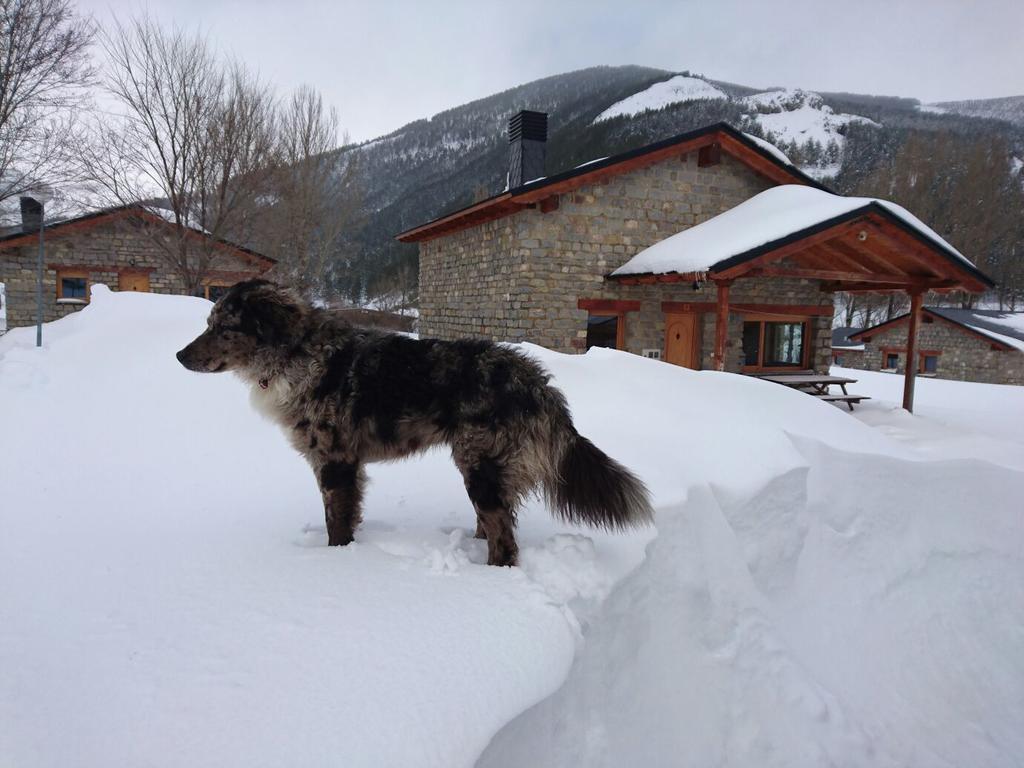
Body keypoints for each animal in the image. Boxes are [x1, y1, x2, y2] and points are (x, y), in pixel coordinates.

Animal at [177, 280, 651, 569]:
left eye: (224, 327)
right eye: (208, 323)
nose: (180, 356)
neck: (297, 353)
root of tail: (538, 383)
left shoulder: (334, 462)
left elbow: (335, 524)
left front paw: (336, 562)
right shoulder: (351, 465)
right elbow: (349, 516)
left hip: (481, 466)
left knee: (505, 541)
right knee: (493, 525)